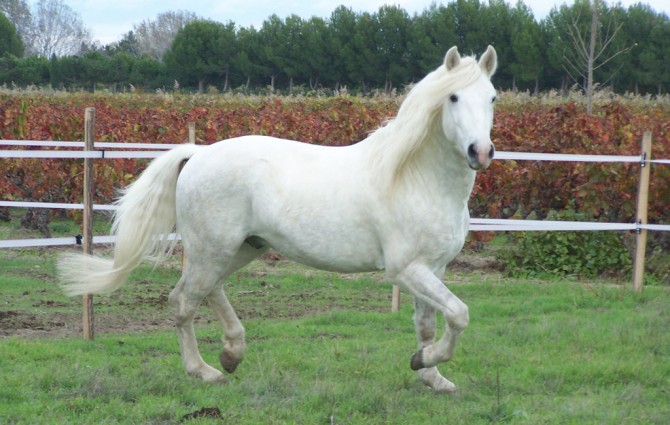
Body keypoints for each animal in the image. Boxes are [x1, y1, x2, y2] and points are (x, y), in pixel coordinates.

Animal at [57, 45, 498, 390]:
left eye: (492, 97)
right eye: (453, 97)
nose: (480, 152)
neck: (415, 178)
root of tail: (198, 154)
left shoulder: (433, 268)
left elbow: (428, 325)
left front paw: (431, 375)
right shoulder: (406, 270)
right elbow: (459, 315)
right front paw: (426, 364)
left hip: (240, 248)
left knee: (207, 290)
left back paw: (232, 353)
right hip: (212, 249)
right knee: (183, 300)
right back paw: (205, 371)